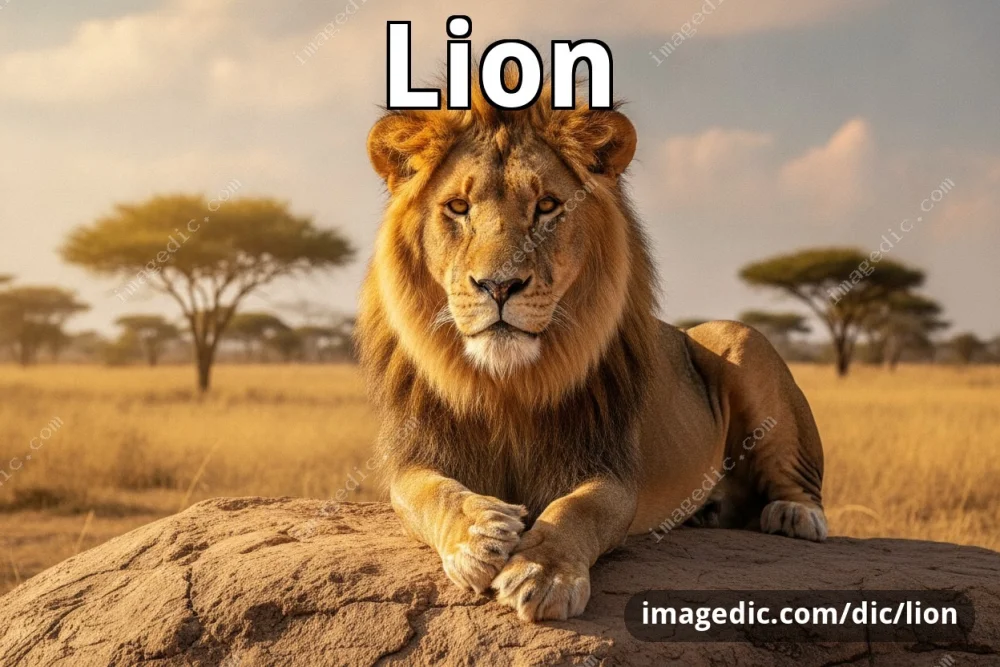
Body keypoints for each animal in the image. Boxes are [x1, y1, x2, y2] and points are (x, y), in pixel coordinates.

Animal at [356, 74, 826, 623]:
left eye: (546, 206)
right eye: (458, 207)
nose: (499, 285)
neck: (508, 384)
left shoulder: (611, 469)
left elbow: (578, 508)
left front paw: (543, 573)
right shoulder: (417, 455)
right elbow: (429, 494)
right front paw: (479, 533)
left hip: (742, 338)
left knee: (799, 484)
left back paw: (795, 515)